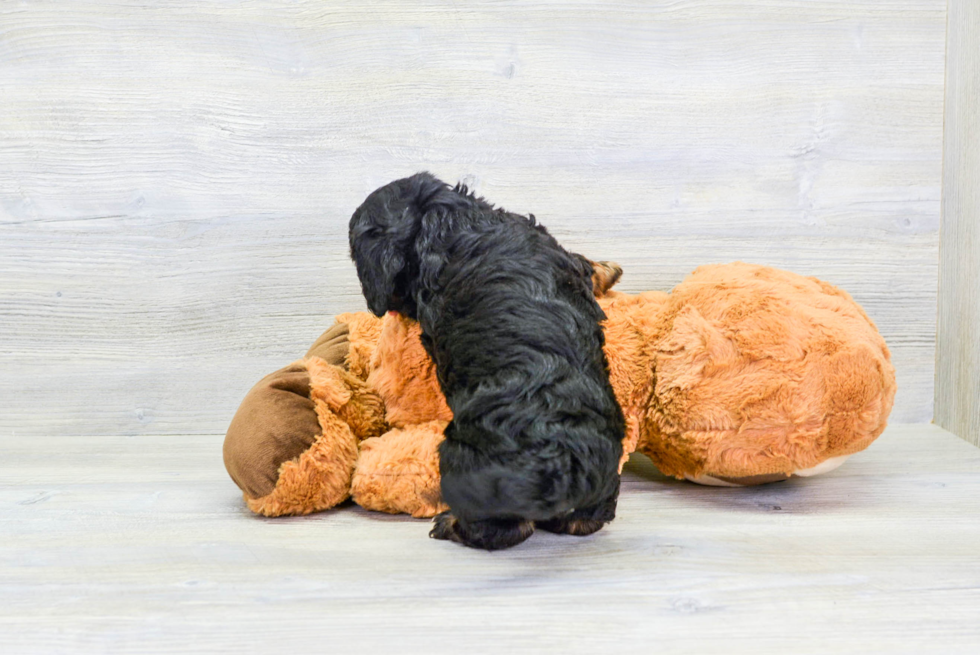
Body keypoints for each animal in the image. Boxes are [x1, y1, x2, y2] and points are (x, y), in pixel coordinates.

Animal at [348, 173, 624, 548]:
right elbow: (582, 263)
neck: (446, 216)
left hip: (458, 461)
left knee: (505, 530)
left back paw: (448, 524)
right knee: (584, 522)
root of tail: (559, 471)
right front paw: (607, 270)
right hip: (603, 478)